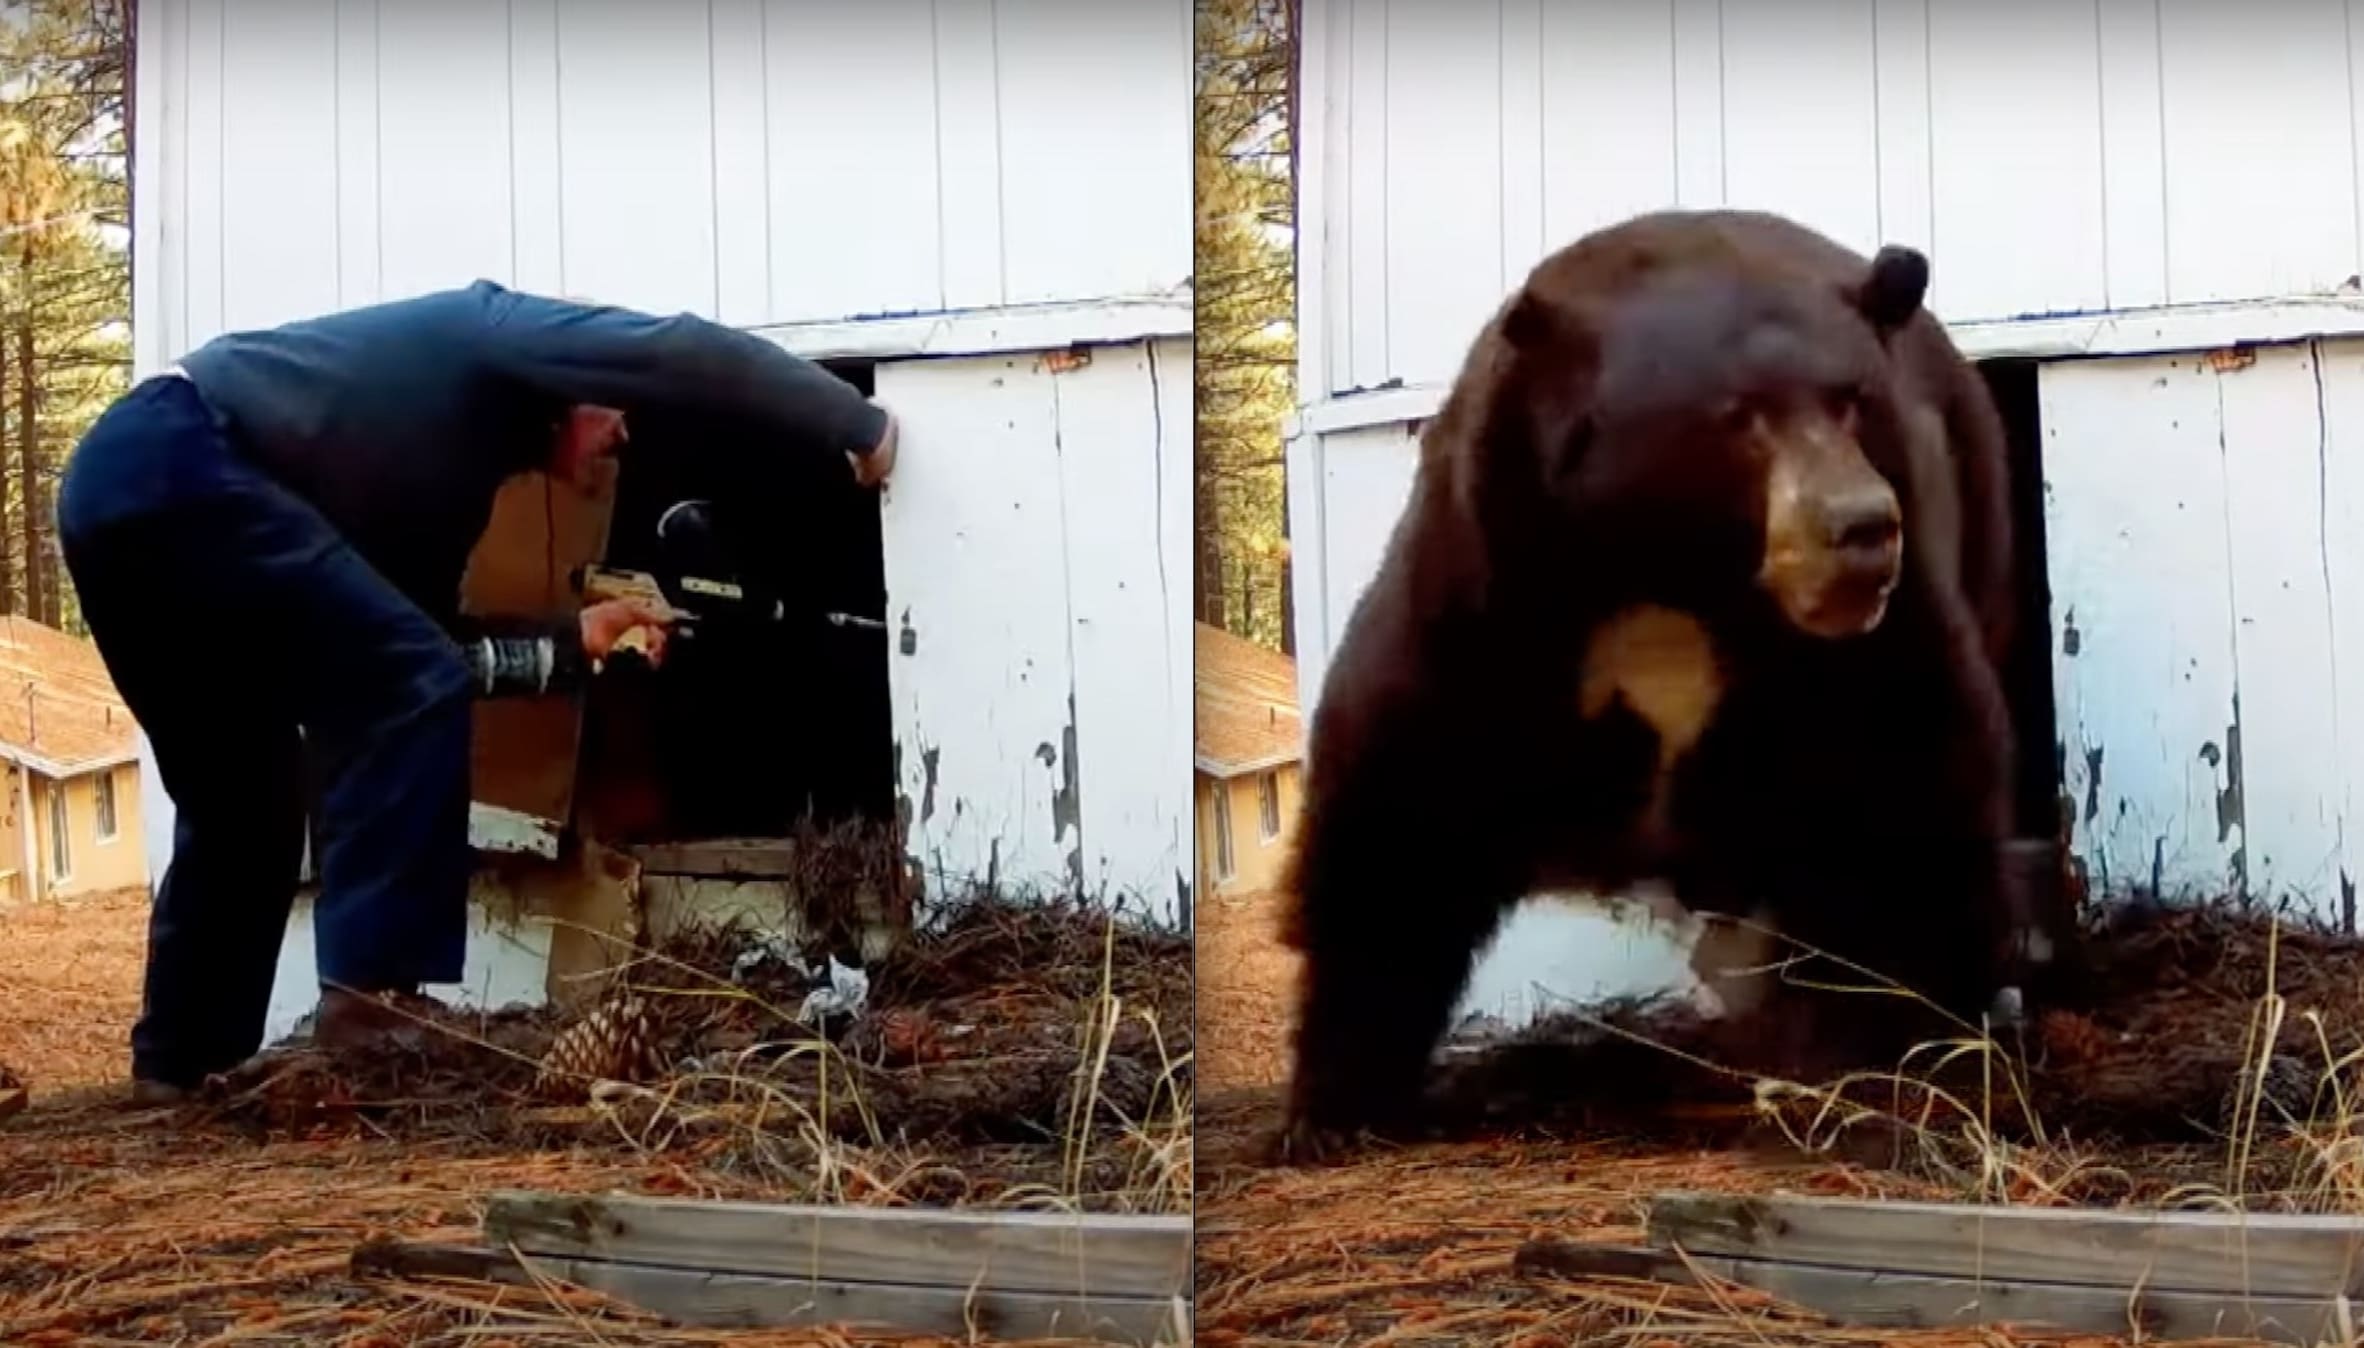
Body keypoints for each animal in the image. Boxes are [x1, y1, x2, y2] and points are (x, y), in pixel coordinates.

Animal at [1271, 208, 2059, 1164]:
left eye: (1851, 400)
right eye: (1738, 416)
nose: (1862, 529)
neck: (1672, 575)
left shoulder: (1878, 636)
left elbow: (1907, 790)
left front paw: (1904, 1050)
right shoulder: (1484, 602)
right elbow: (1399, 820)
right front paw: (1337, 1105)